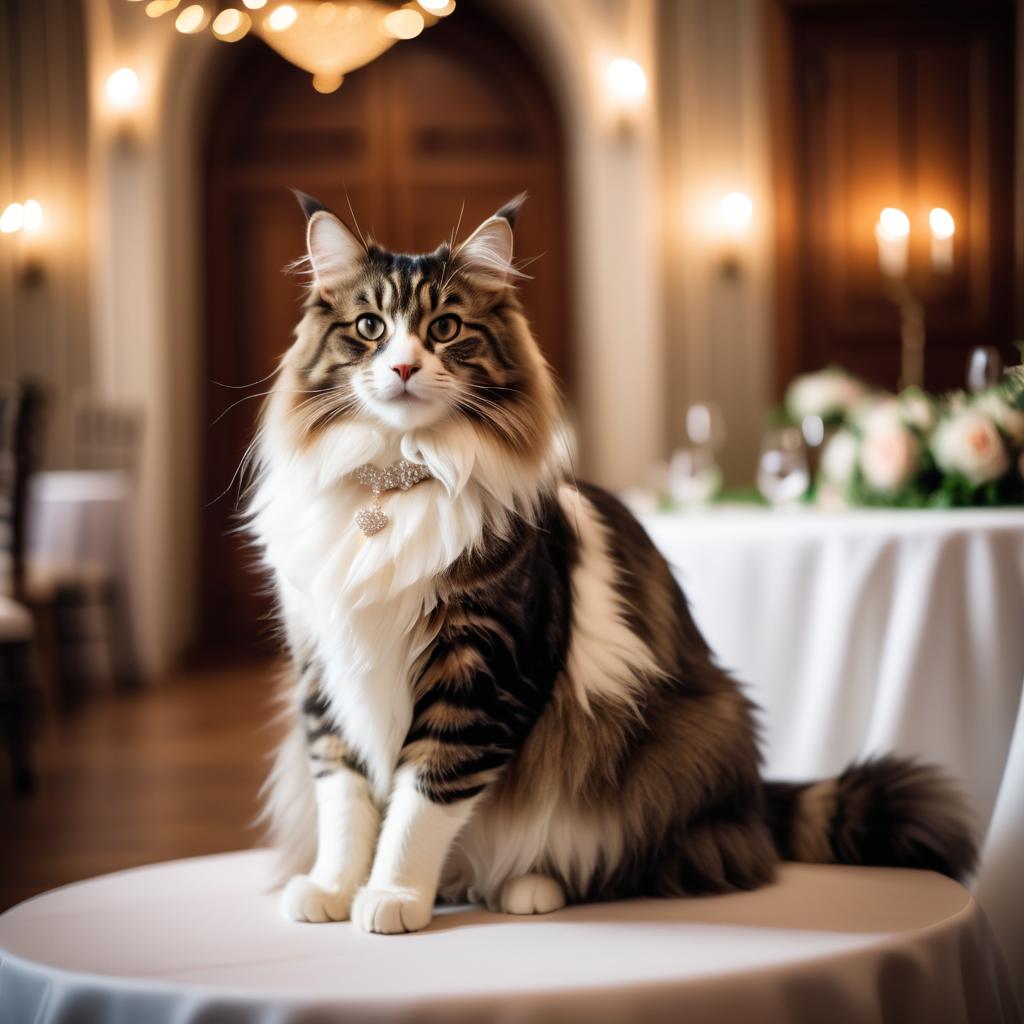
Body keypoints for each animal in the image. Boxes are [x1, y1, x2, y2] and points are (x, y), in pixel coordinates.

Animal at [247, 188, 974, 933]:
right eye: (369, 327)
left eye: (445, 328)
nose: (401, 367)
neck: (395, 483)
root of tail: (748, 802)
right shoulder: (325, 668)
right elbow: (345, 802)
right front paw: (333, 888)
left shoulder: (482, 671)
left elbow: (424, 796)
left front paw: (392, 895)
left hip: (676, 747)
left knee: (628, 858)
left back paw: (527, 886)